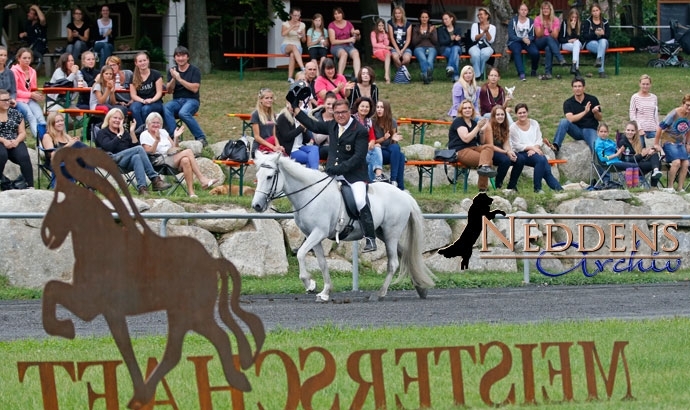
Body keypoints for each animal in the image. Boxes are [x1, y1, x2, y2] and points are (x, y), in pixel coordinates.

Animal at [247, 152, 432, 302]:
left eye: (269, 177)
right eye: (258, 175)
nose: (257, 205)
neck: (310, 194)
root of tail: (403, 194)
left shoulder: (318, 233)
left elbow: (300, 254)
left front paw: (310, 284)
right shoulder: (313, 236)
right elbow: (322, 263)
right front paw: (325, 292)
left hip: (391, 233)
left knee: (393, 263)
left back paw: (380, 294)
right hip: (382, 233)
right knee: (405, 255)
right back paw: (420, 288)